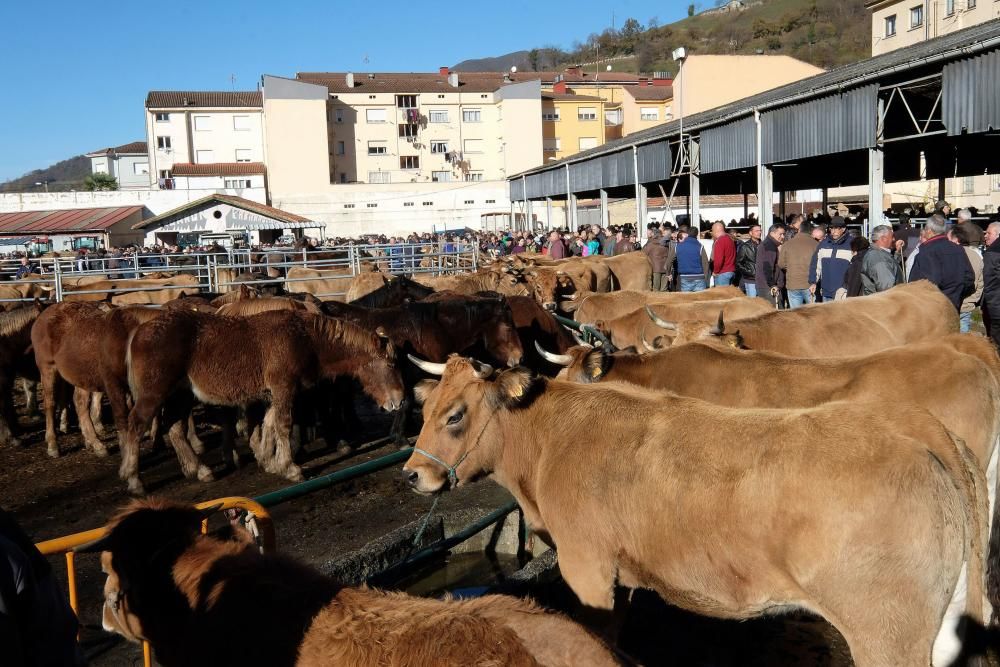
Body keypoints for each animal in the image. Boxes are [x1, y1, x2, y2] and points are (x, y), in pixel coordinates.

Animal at [123, 310, 404, 494]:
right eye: (391, 364)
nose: (399, 402)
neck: (306, 338)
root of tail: (139, 330)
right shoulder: (284, 389)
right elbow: (283, 425)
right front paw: (291, 468)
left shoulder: (274, 394)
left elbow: (268, 425)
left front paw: (270, 461)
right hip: (155, 395)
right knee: (135, 426)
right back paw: (134, 479)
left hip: (180, 395)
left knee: (174, 429)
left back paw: (200, 470)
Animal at [402, 358, 988, 667]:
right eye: (426, 409)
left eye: (455, 415)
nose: (412, 474)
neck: (551, 439)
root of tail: (913, 424)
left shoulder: (586, 566)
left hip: (888, 633)